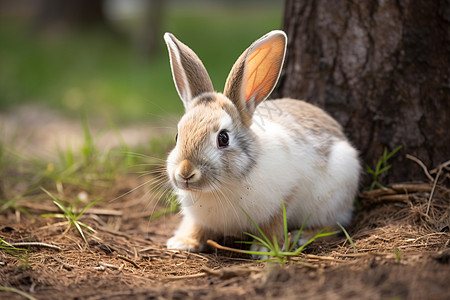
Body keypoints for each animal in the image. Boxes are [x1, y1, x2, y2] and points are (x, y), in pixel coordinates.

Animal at [163, 30, 360, 254]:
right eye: (177, 136)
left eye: (223, 138)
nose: (185, 172)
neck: (221, 187)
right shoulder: (198, 217)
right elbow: (196, 226)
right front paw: (183, 242)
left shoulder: (285, 196)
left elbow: (275, 223)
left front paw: (265, 250)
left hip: (333, 198)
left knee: (335, 225)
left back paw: (304, 236)